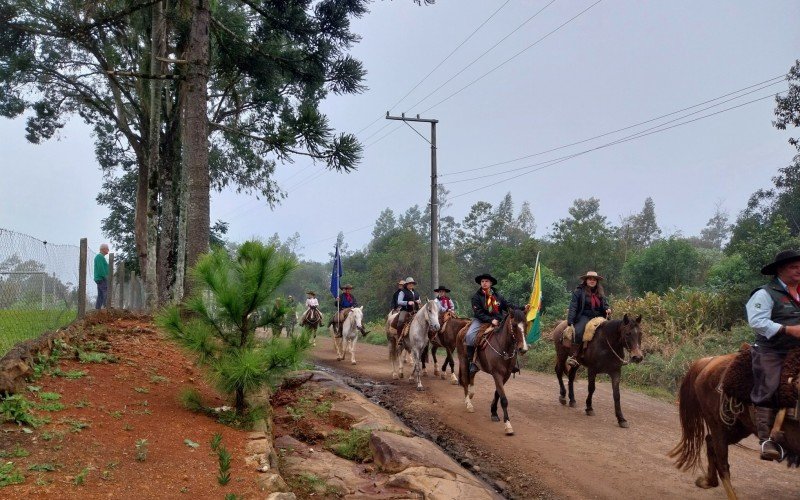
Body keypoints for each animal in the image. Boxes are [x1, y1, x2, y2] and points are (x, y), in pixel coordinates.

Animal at [460, 306, 528, 436]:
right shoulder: (497, 374)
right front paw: (508, 425)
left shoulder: (505, 375)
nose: (523, 348)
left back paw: (471, 394)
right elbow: (504, 399)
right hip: (463, 361)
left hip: (476, 365)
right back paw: (468, 403)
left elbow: (497, 393)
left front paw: (494, 413)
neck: (503, 347)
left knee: (472, 374)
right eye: (514, 325)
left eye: (526, 324)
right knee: (466, 380)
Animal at [668, 354, 800, 498]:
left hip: (738, 429)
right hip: (718, 424)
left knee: (710, 442)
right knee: (723, 464)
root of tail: (710, 360)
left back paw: (708, 481)